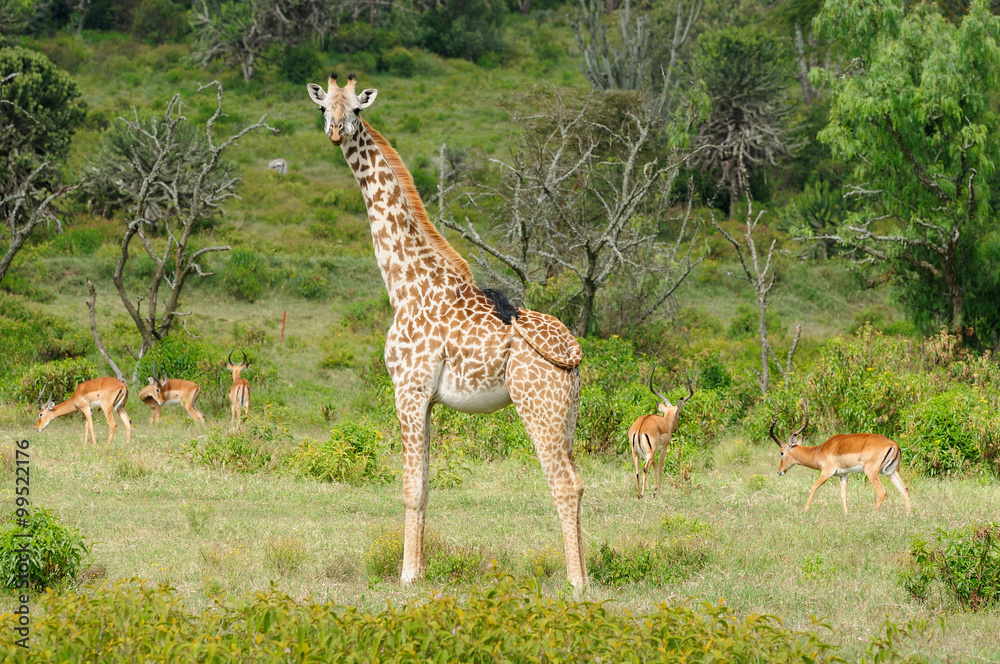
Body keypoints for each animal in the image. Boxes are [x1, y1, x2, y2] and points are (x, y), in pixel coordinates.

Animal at [307, 74, 588, 590]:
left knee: (564, 484)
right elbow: (427, 485)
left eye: (356, 109)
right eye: (323, 109)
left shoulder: (408, 388)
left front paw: (407, 575)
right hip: (568, 413)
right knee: (577, 481)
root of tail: (574, 354)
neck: (405, 283)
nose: (336, 132)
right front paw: (416, 570)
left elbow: (410, 486)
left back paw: (578, 582)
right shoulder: (428, 398)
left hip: (537, 407)